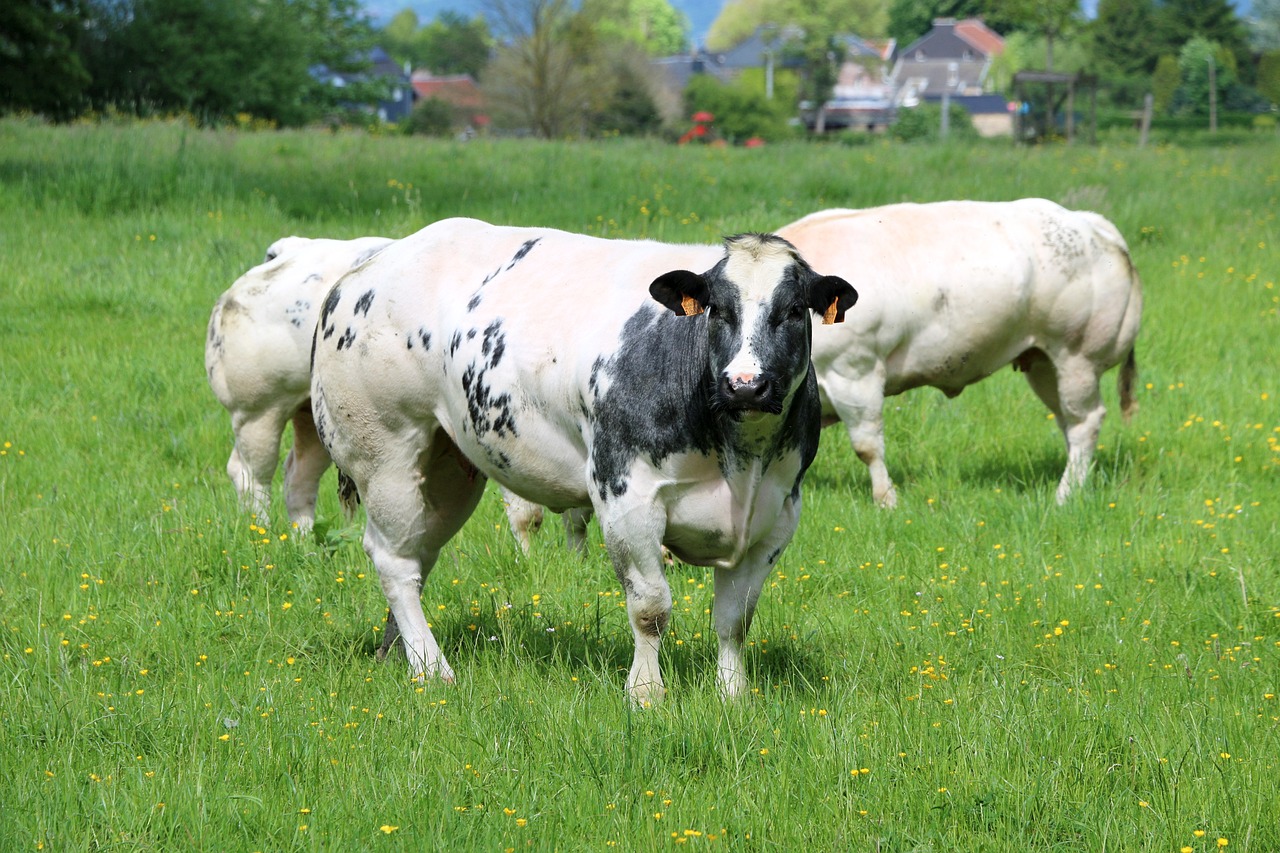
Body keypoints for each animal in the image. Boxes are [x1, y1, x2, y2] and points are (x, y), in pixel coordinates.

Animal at [204, 235, 391, 527]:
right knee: (251, 476)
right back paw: (262, 532)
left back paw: (303, 537)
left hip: (317, 419)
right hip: (257, 412)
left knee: (299, 478)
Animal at [307, 216, 860, 701]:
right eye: (717, 310)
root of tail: (363, 271)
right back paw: (430, 667)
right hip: (385, 451)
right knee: (394, 561)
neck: (739, 459)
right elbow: (650, 608)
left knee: (417, 553)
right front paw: (645, 693)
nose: (745, 385)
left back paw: (395, 653)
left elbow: (734, 618)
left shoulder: (778, 512)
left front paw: (733, 695)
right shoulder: (626, 497)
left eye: (794, 310)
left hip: (448, 468)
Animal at [773, 199, 1146, 504]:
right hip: (1044, 364)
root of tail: (1089, 223)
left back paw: (1066, 494)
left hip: (1077, 356)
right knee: (1068, 422)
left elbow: (868, 447)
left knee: (1085, 422)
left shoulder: (854, 371)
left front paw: (886, 501)